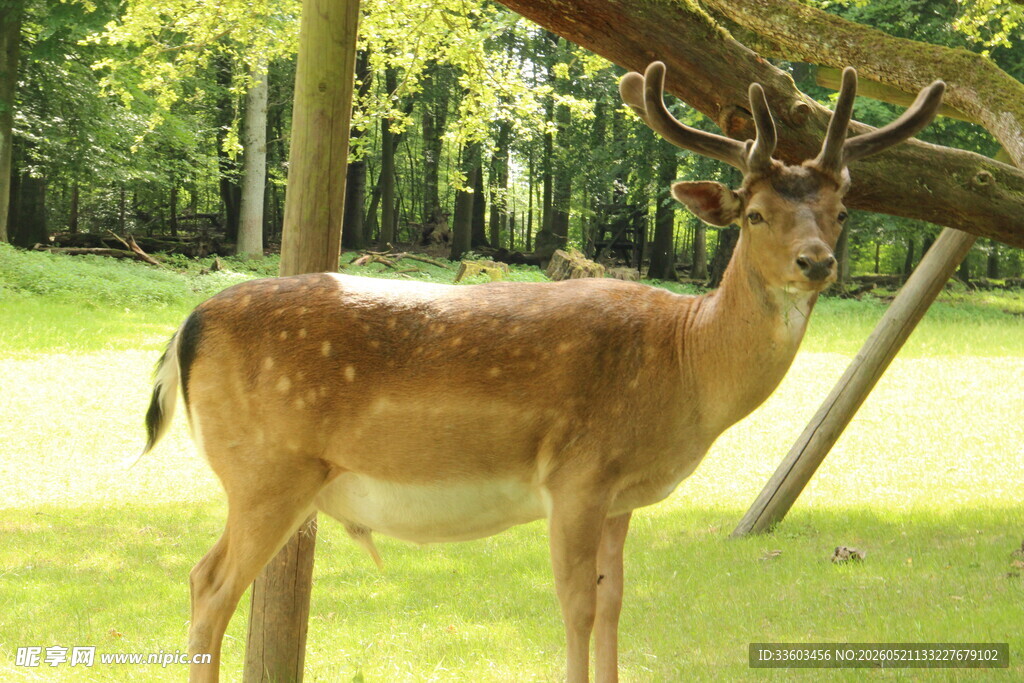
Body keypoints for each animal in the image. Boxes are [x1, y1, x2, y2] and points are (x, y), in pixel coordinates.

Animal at [139, 62, 944, 683]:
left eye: (841, 212)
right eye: (753, 214)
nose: (817, 262)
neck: (684, 364)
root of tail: (186, 329)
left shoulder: (620, 495)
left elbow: (614, 601)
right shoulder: (578, 473)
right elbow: (575, 605)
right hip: (267, 469)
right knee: (207, 584)